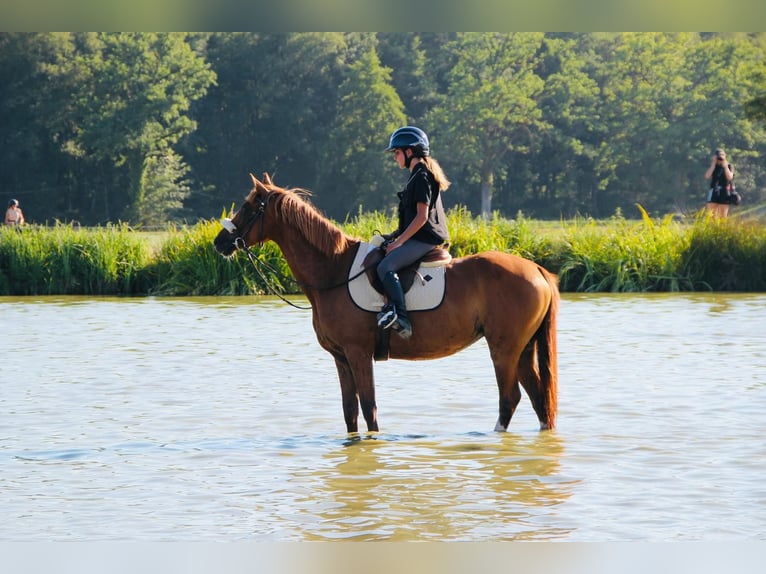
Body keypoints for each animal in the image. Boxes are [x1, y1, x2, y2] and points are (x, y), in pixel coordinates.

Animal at [213, 173, 560, 434]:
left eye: (248, 206)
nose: (220, 242)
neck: (333, 271)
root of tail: (537, 269)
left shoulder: (358, 353)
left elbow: (369, 408)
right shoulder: (341, 358)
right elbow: (350, 411)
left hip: (504, 349)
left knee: (510, 398)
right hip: (522, 349)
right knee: (537, 398)